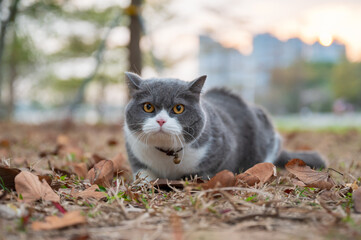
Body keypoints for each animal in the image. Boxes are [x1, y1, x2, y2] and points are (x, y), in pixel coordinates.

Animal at [122, 72, 324, 181]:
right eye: (148, 107)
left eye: (178, 108)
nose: (161, 121)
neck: (167, 156)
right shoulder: (133, 150)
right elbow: (142, 172)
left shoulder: (224, 148)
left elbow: (204, 171)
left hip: (266, 135)